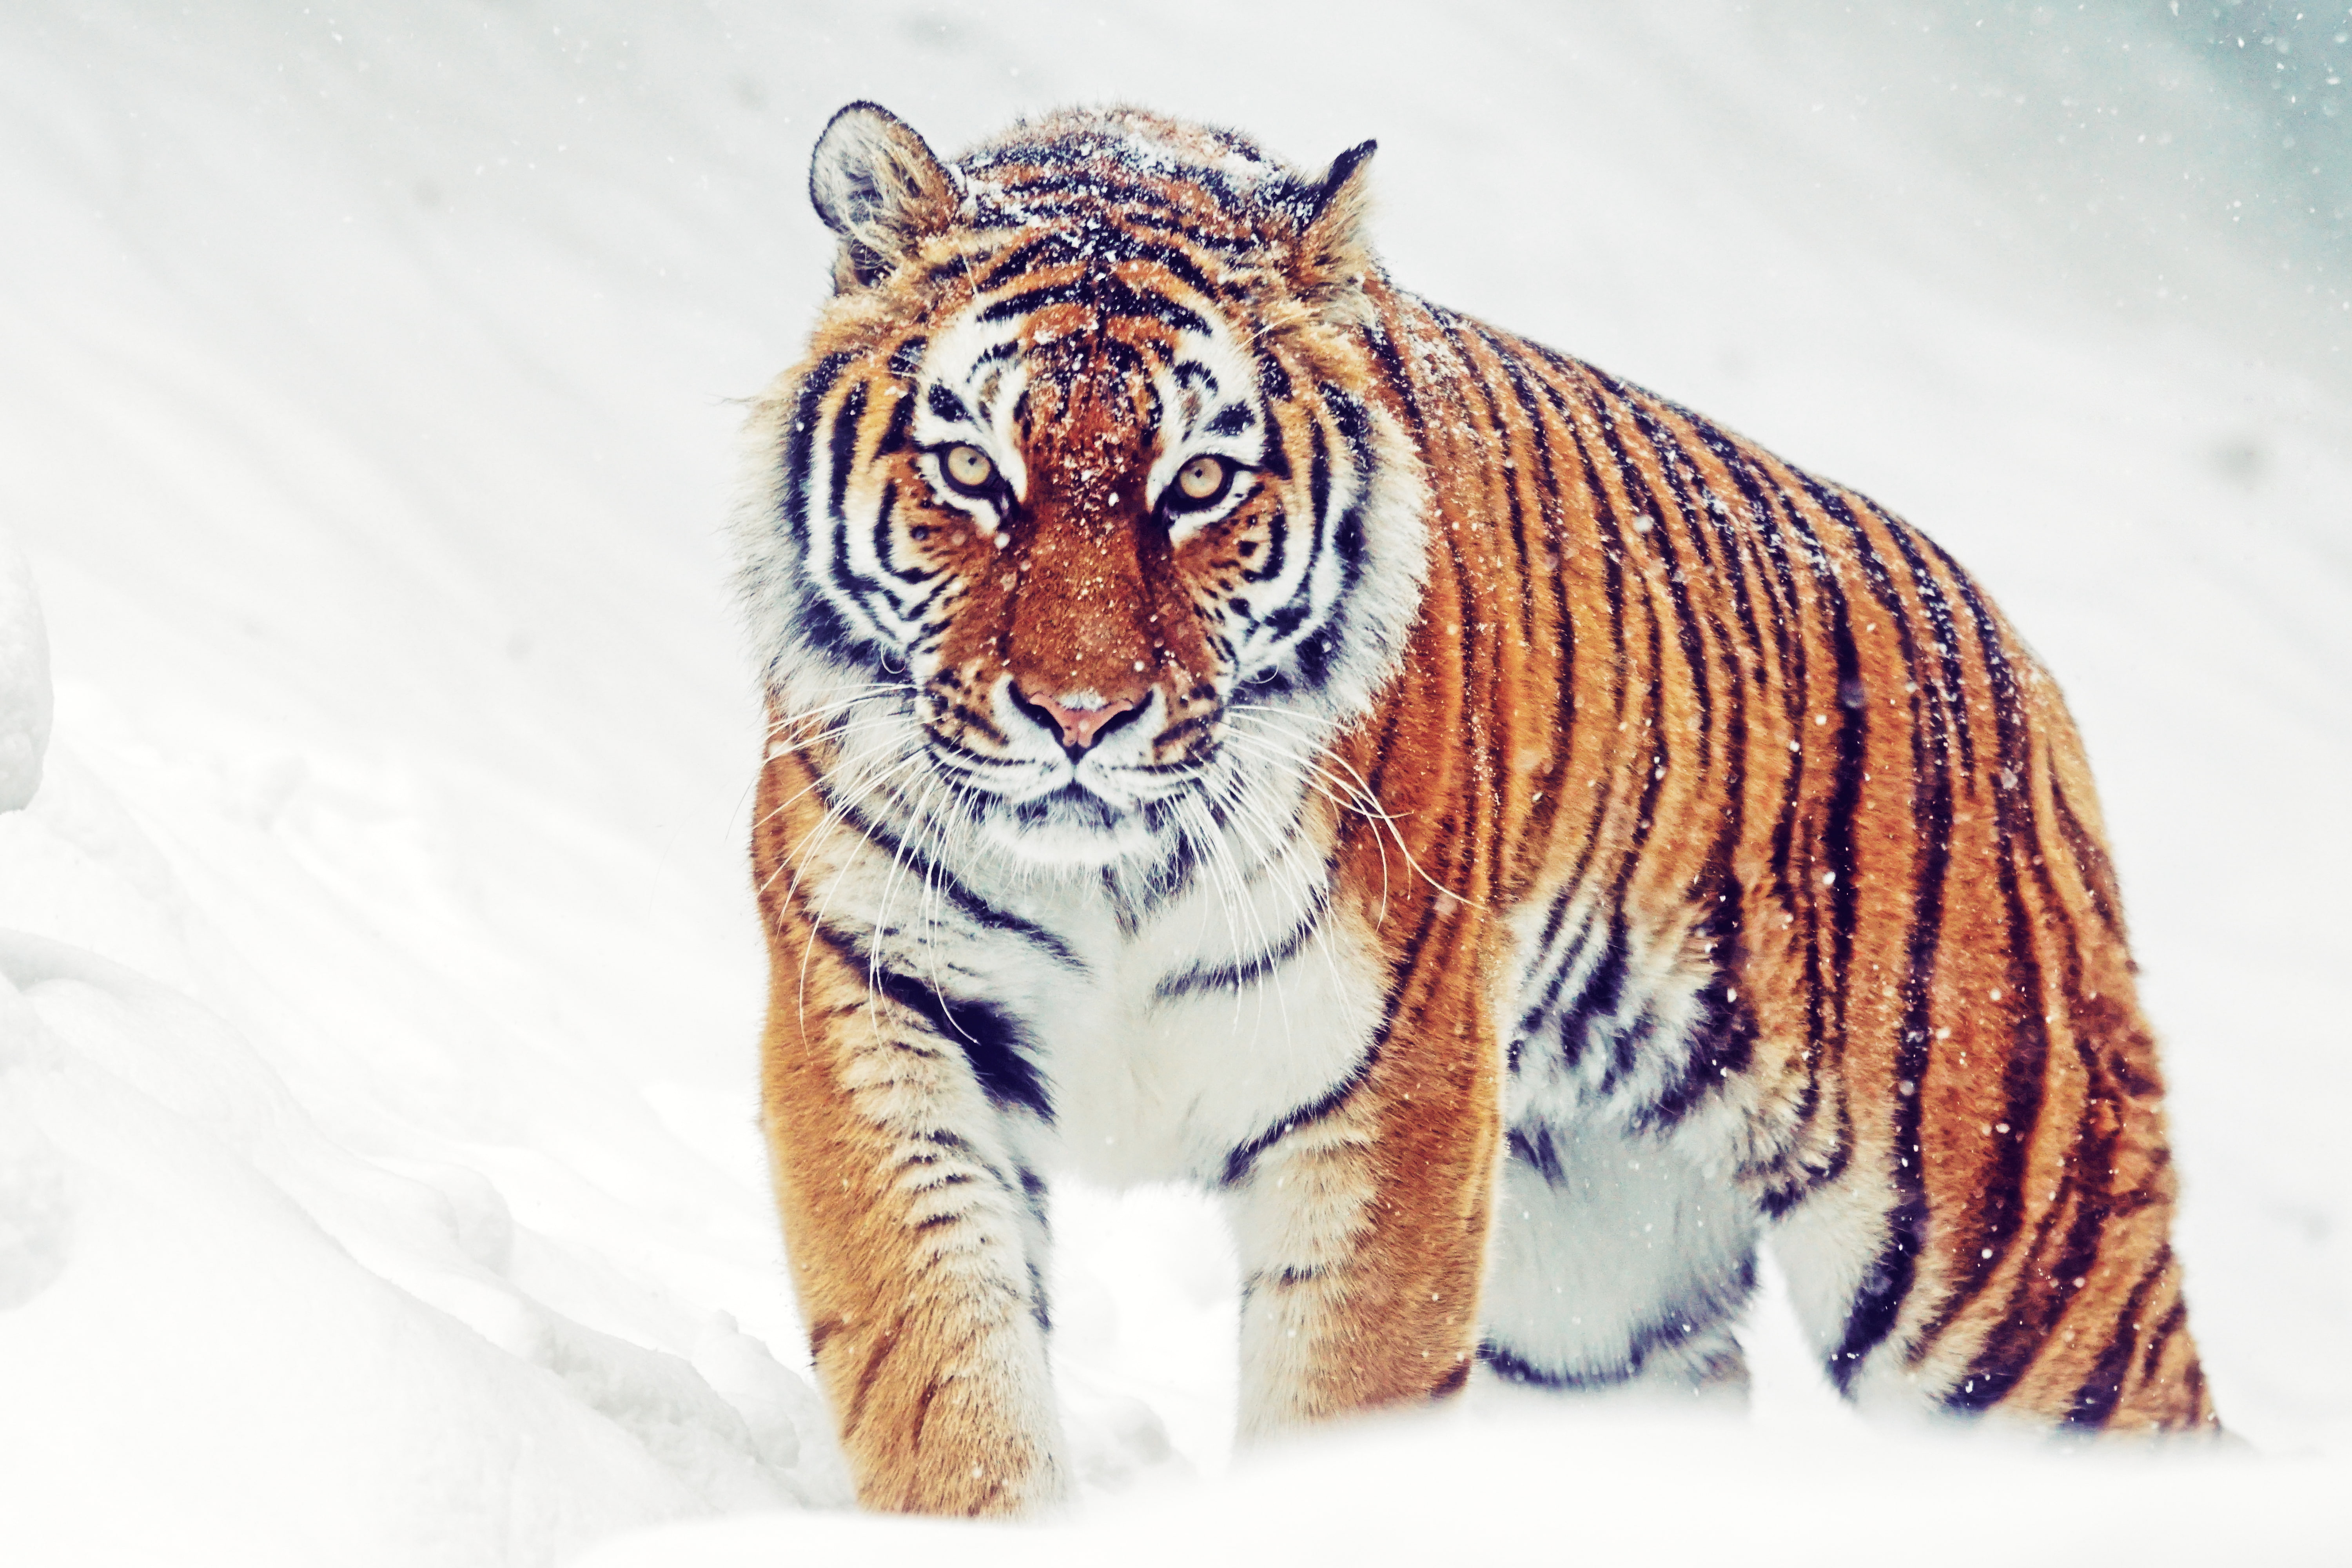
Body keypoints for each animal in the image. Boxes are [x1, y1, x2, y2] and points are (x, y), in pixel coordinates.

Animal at [731, 100, 2219, 1516]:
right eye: (973, 472)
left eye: (1198, 484)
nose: (1080, 715)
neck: (1112, 879)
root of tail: (2015, 657)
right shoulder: (878, 1012)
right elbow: (942, 1375)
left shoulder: (1395, 1093)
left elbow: (1339, 1406)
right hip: (1599, 1301)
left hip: (2009, 1266)